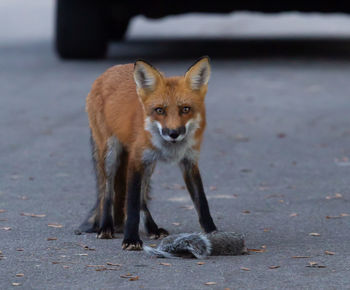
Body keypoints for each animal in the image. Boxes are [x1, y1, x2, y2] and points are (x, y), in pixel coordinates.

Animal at [79, 56, 216, 249]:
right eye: (159, 110)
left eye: (185, 109)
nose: (174, 133)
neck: (170, 148)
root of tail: (108, 71)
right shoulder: (136, 160)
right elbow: (131, 205)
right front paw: (130, 239)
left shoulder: (189, 161)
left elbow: (202, 201)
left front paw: (212, 232)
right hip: (111, 155)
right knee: (107, 193)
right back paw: (106, 227)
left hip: (149, 166)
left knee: (142, 199)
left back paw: (152, 228)